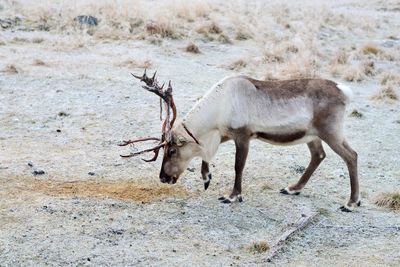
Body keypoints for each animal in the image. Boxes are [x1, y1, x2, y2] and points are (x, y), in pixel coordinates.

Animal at [120, 70, 360, 213]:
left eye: (171, 151)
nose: (163, 177)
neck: (219, 106)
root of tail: (344, 91)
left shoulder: (243, 135)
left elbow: (238, 166)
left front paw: (233, 196)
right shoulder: (224, 133)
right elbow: (208, 155)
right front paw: (207, 177)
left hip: (331, 131)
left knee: (351, 155)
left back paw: (351, 202)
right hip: (311, 135)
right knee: (318, 155)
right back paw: (292, 188)